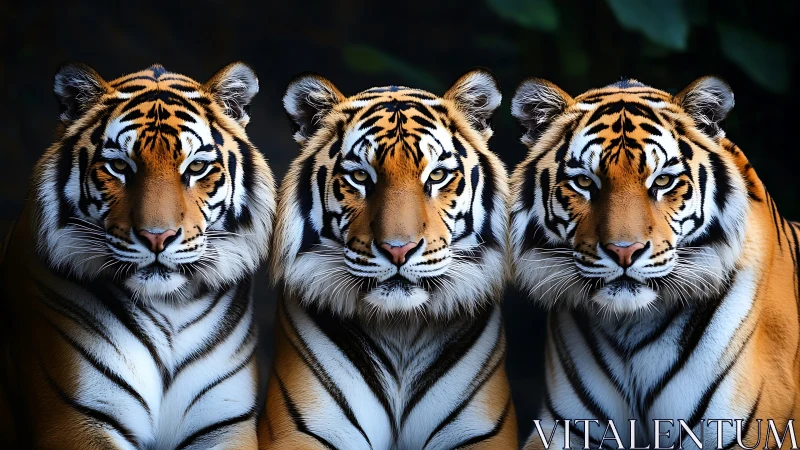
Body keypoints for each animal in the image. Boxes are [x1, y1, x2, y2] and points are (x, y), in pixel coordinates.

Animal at [0, 62, 275, 449]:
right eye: (119, 166)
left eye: (196, 168)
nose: (156, 237)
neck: (171, 308)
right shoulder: (75, 418)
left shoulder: (225, 425)